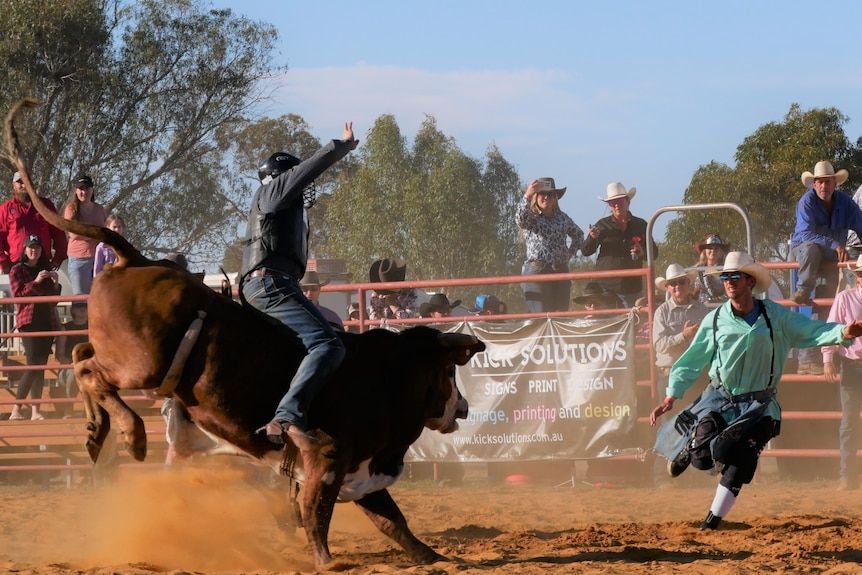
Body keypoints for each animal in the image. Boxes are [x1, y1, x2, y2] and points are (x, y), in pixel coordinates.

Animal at [3, 101, 482, 568]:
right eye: (449, 373)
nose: (463, 407)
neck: (388, 375)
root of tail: (133, 257)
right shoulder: (326, 456)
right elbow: (317, 513)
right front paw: (326, 561)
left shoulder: (361, 472)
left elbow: (394, 522)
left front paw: (435, 557)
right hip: (142, 366)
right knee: (88, 370)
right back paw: (131, 435)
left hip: (132, 360)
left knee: (81, 354)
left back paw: (96, 432)